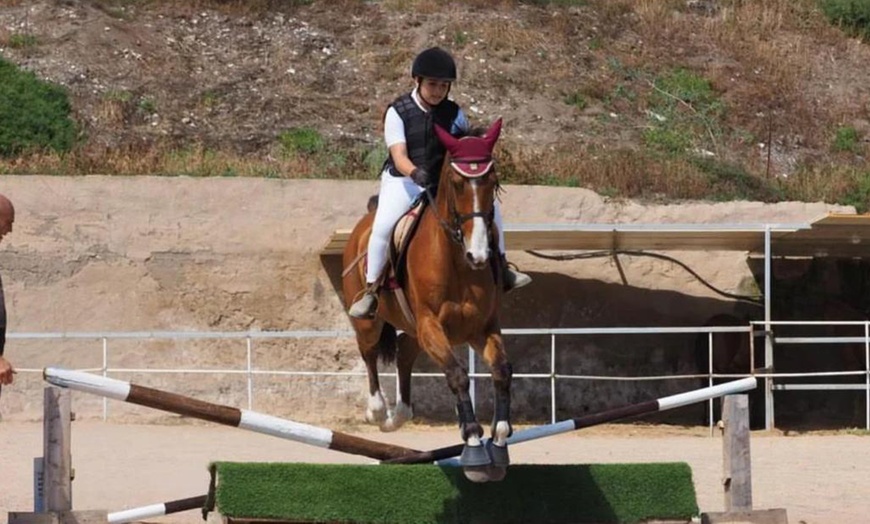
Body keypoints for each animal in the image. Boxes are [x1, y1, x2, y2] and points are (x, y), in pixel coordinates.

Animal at [344, 118, 516, 484]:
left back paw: (400, 414)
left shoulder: (481, 328)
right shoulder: (431, 325)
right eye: (457, 182)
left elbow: (502, 370)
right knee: (368, 351)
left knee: (405, 354)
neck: (458, 262)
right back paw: (378, 412)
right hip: (370, 321)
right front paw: (473, 442)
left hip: (413, 330)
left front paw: (499, 438)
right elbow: (457, 375)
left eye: (493, 182)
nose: (479, 255)